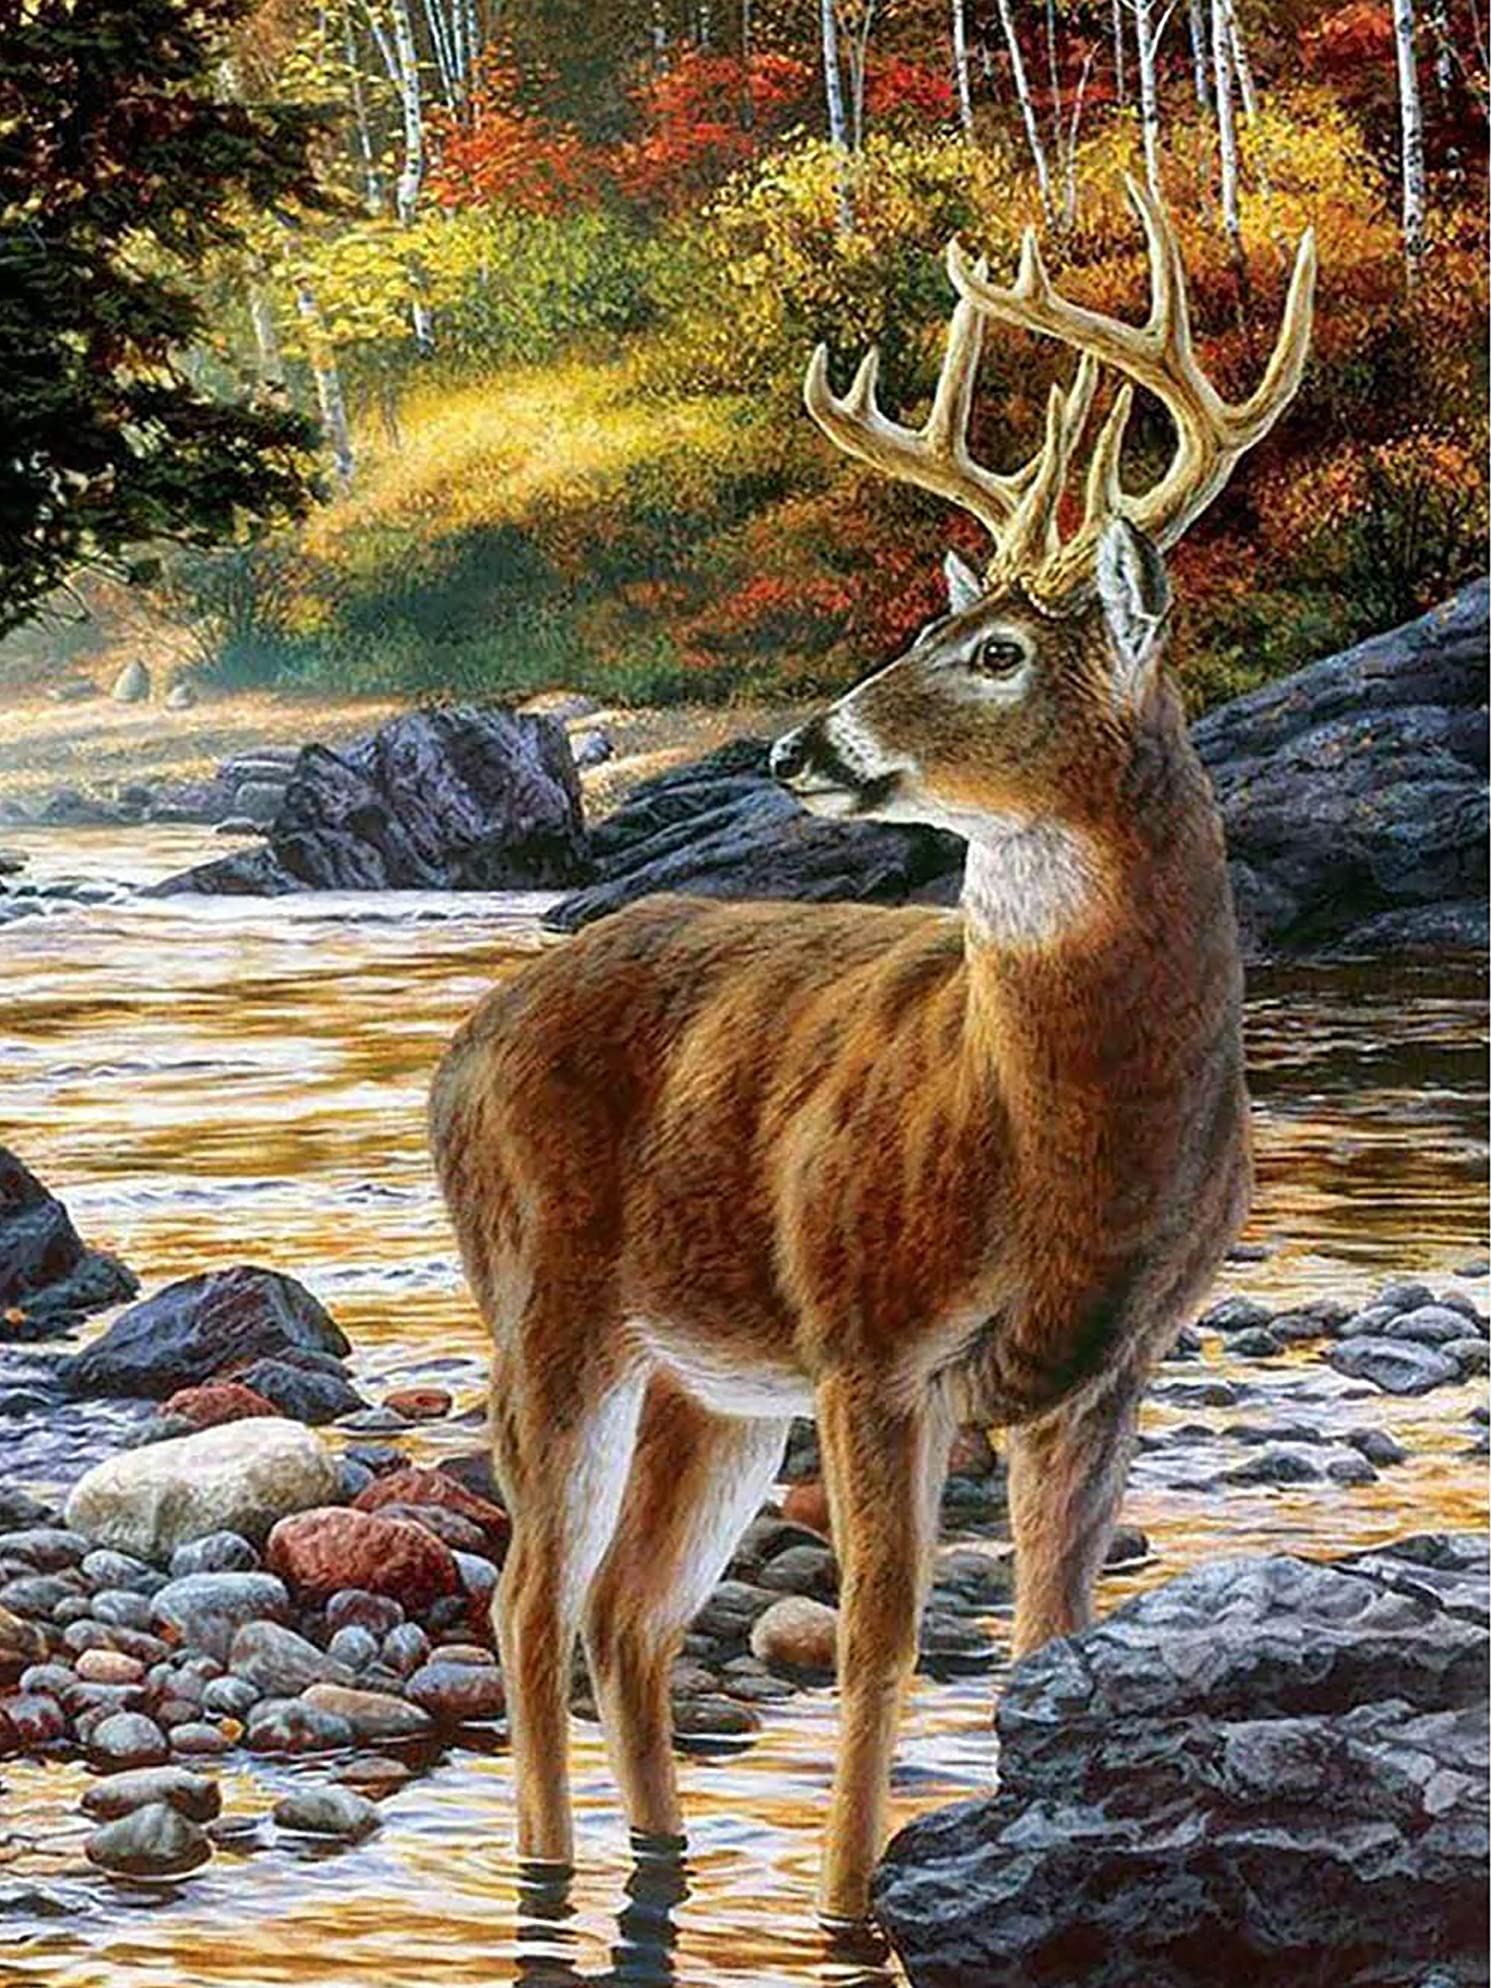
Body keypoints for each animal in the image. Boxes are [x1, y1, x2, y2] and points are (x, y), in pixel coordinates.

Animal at [429, 176, 1315, 1928]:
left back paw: (659, 1859)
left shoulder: (1107, 1368)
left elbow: (1052, 1637)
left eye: (996, 652)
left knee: (626, 1611)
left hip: (707, 1377)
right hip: (546, 1309)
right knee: (526, 1600)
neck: (1051, 1144)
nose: (798, 745)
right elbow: (881, 1646)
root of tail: (461, 1052)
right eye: (931, 619)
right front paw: (850, 1913)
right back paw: (549, 1880)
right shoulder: (869, 1341)